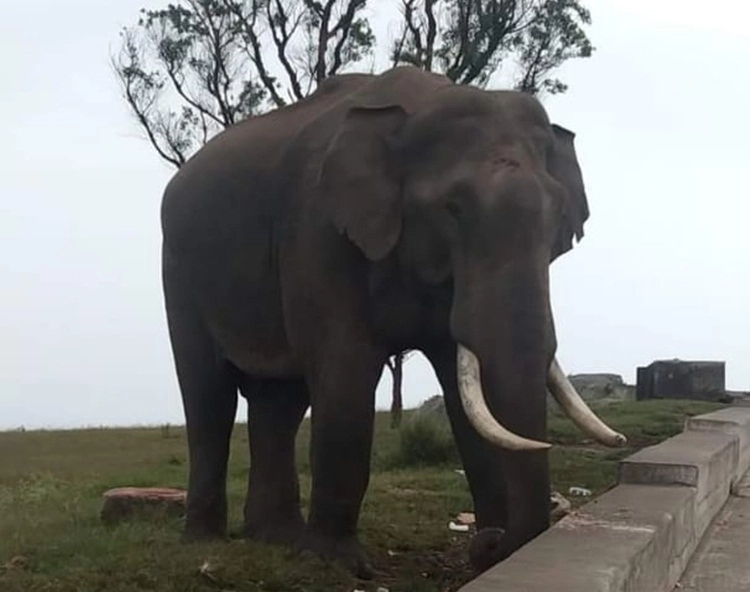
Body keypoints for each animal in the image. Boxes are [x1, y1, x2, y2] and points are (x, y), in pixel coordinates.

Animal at [162, 66, 624, 580]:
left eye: (559, 218)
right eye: (453, 209)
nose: (488, 541)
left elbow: (462, 391)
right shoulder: (318, 231)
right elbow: (345, 372)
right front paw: (339, 563)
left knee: (279, 400)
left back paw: (276, 537)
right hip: (180, 271)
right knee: (208, 395)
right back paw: (205, 540)